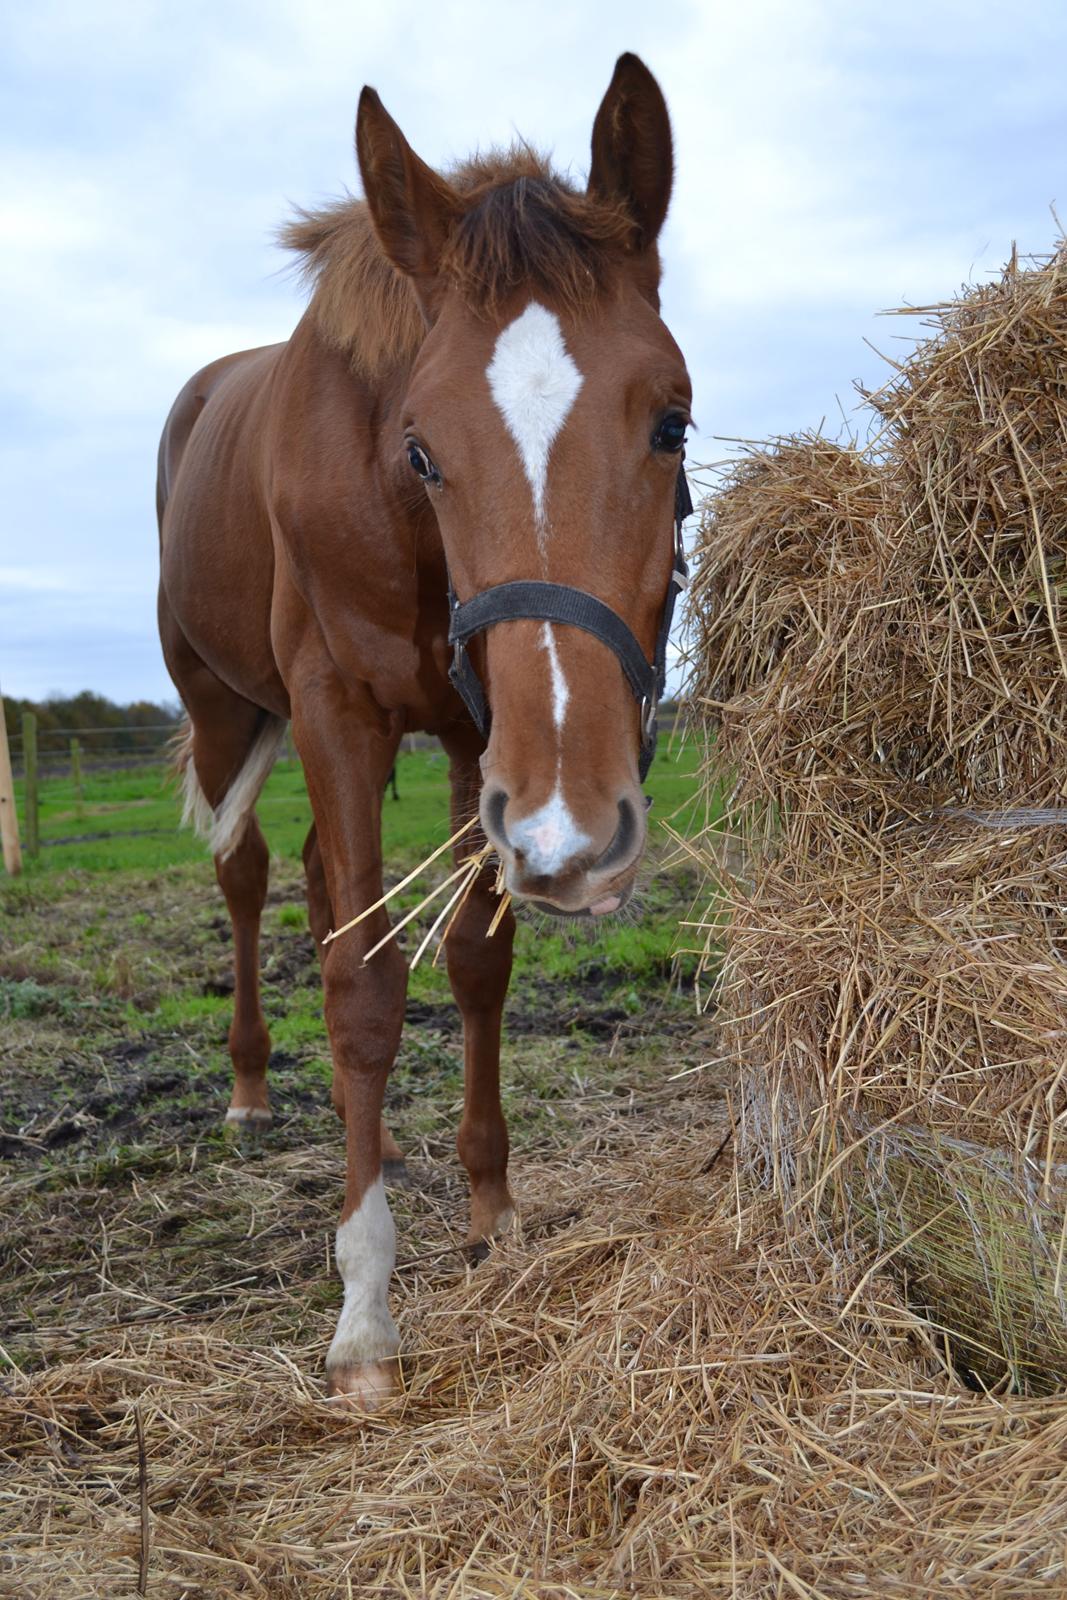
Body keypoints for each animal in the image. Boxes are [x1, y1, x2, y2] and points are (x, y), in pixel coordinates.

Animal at [158, 50, 694, 1408]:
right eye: (422, 446)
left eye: (671, 419)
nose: (579, 822)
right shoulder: (338, 709)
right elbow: (358, 984)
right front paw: (364, 1305)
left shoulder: (472, 731)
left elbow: (470, 962)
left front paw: (490, 1204)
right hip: (223, 706)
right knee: (247, 874)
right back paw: (250, 1089)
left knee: (310, 878)